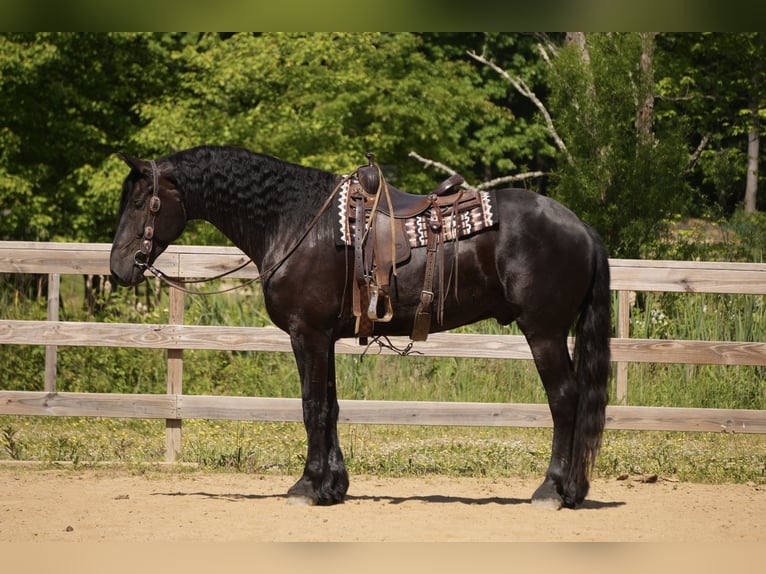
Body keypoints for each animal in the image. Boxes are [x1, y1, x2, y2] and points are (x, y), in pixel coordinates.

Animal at [109, 145, 611, 509]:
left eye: (140, 202)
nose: (118, 268)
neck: (293, 220)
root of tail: (584, 228)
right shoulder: (325, 338)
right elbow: (330, 407)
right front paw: (332, 487)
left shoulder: (306, 335)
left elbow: (312, 407)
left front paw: (307, 486)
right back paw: (572, 490)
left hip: (543, 332)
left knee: (565, 400)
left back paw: (553, 490)